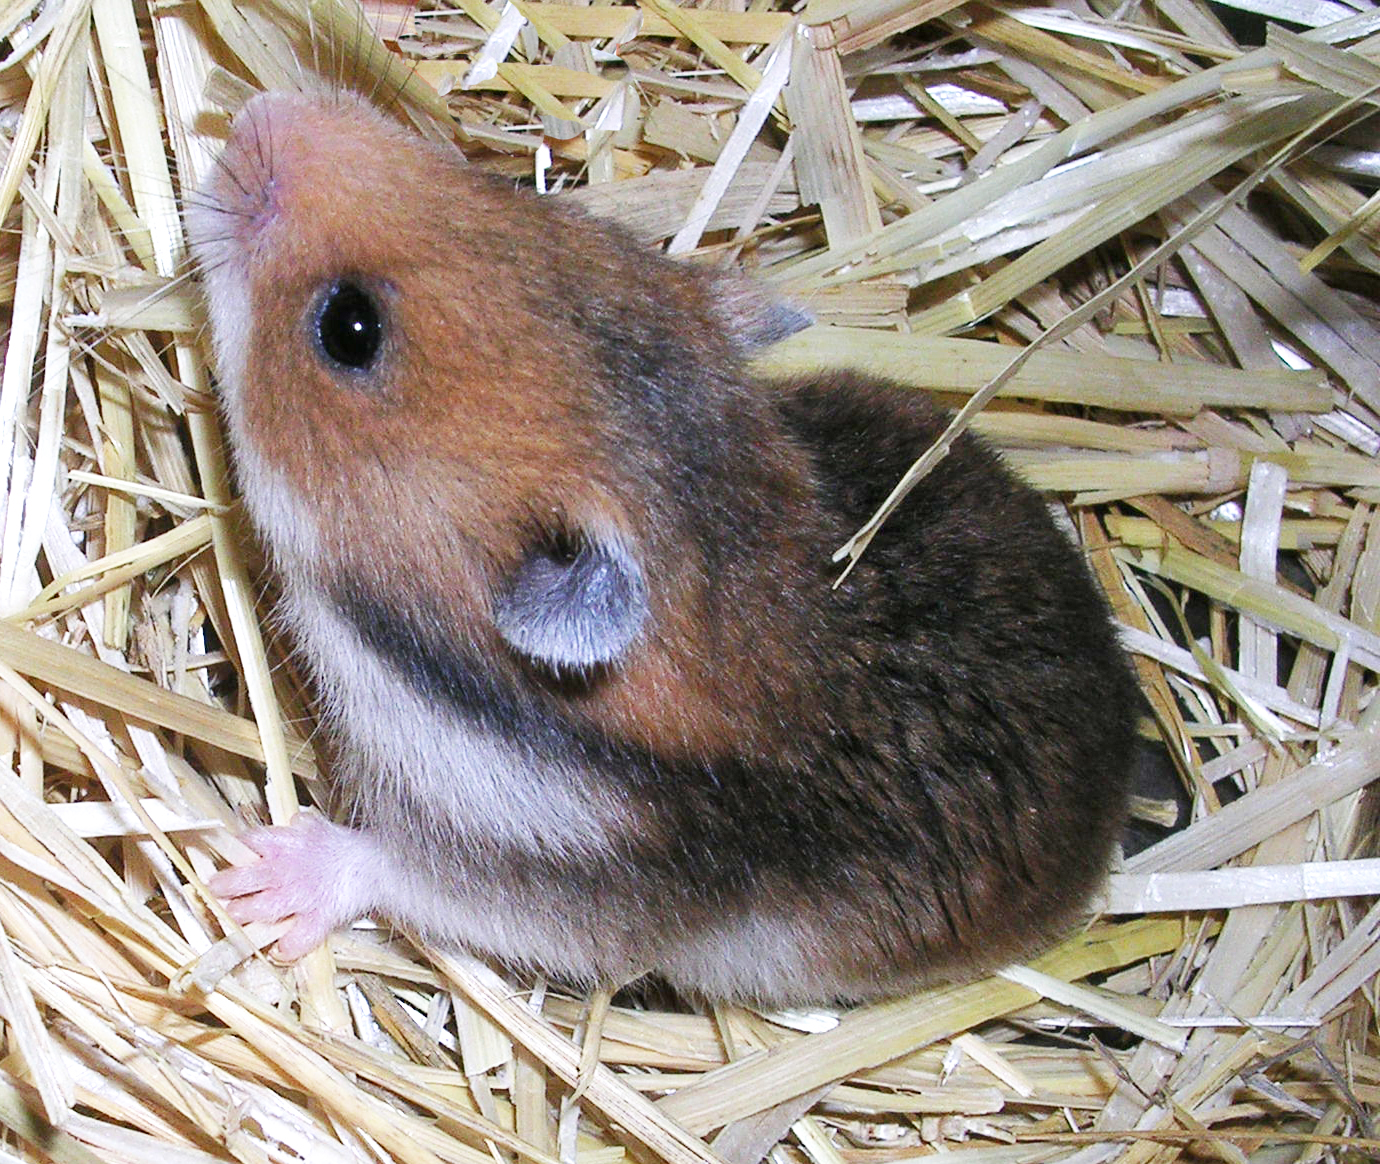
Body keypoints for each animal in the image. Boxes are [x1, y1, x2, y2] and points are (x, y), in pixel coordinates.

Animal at [191, 91, 1142, 1005]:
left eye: (349, 328)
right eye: (523, 195)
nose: (254, 112)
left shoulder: (563, 888)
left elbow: (395, 867)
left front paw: (256, 878)